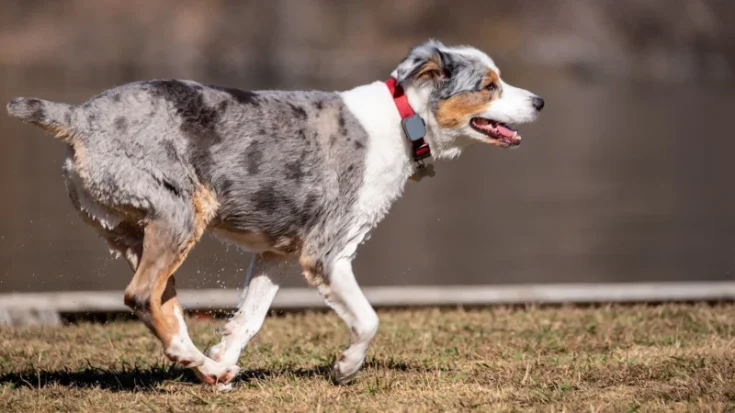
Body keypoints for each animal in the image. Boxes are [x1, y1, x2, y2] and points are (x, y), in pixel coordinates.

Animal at [5, 38, 544, 386]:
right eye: (490, 85)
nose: (539, 100)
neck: (401, 120)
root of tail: (77, 117)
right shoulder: (327, 252)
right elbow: (367, 319)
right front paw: (345, 368)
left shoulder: (277, 253)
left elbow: (250, 315)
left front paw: (226, 353)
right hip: (179, 211)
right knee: (140, 295)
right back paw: (199, 363)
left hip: (133, 230)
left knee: (161, 302)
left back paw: (210, 368)